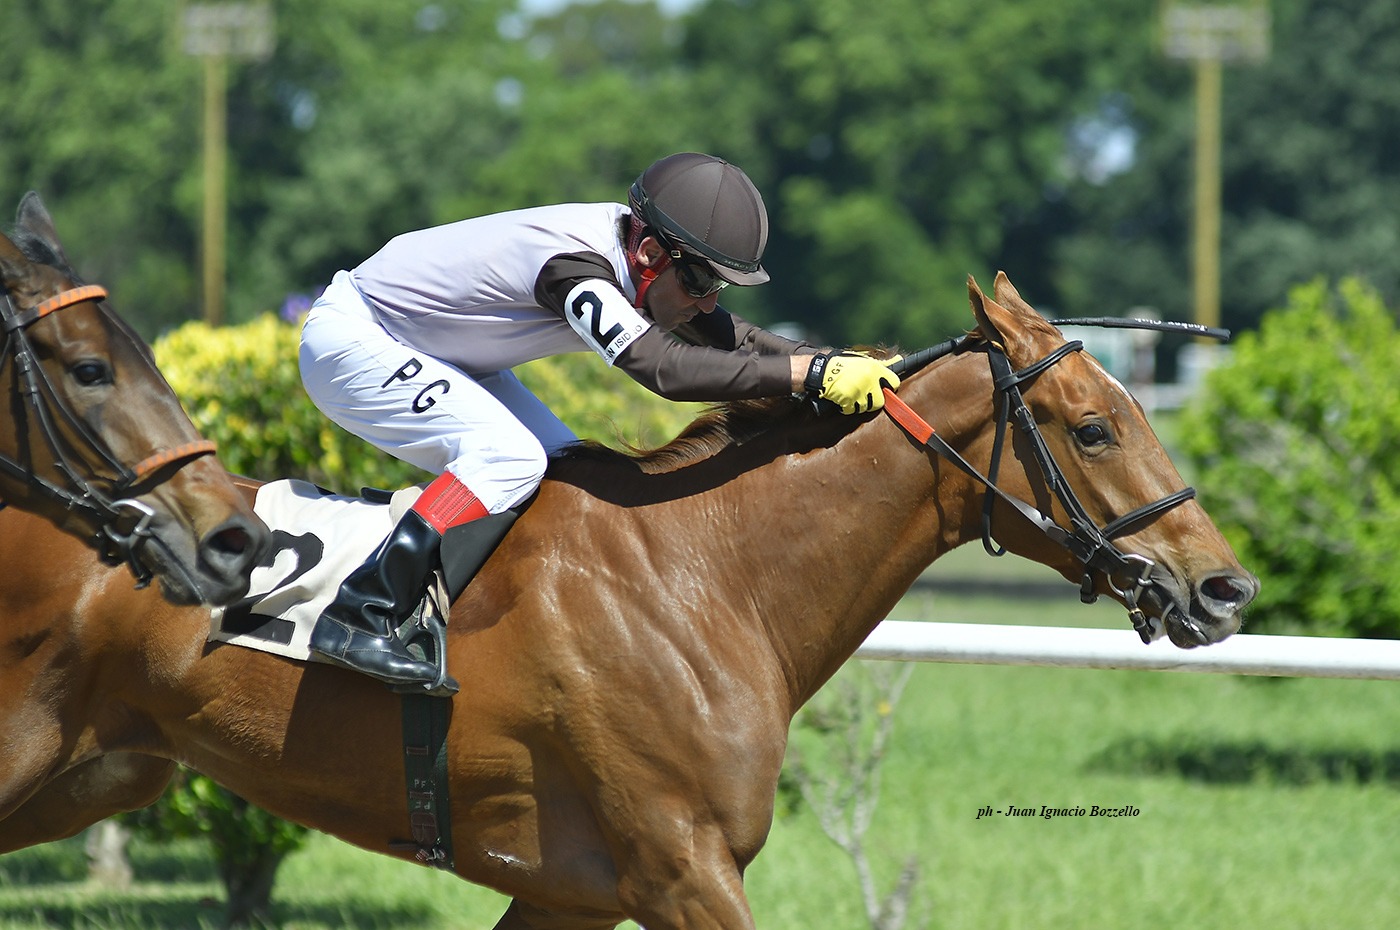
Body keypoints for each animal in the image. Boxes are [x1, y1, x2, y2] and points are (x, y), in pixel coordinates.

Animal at [0, 272, 1257, 929]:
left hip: (94, 773)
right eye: (1092, 427)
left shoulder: (571, 890)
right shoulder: (679, 867)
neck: (709, 579)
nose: (1223, 586)